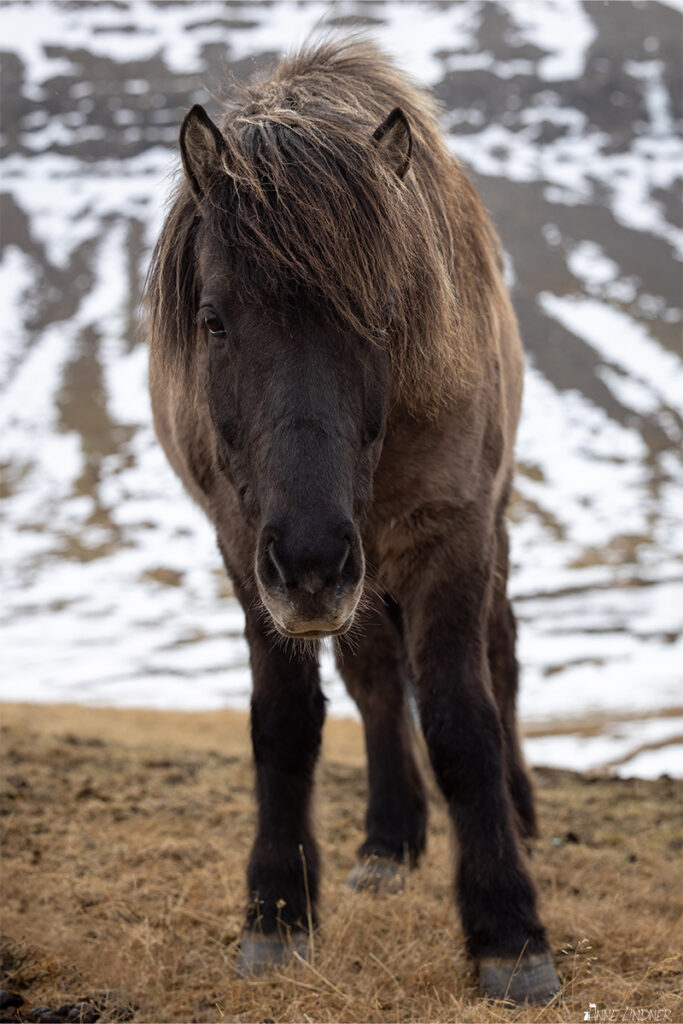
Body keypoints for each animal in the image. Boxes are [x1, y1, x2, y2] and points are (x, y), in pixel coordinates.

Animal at [144, 36, 561, 1003]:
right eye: (213, 320)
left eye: (382, 317)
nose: (308, 561)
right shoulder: (244, 548)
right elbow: (286, 720)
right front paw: (276, 912)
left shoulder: (451, 537)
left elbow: (461, 719)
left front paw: (507, 931)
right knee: (373, 683)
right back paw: (388, 841)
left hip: (449, 543)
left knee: (501, 660)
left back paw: (518, 815)